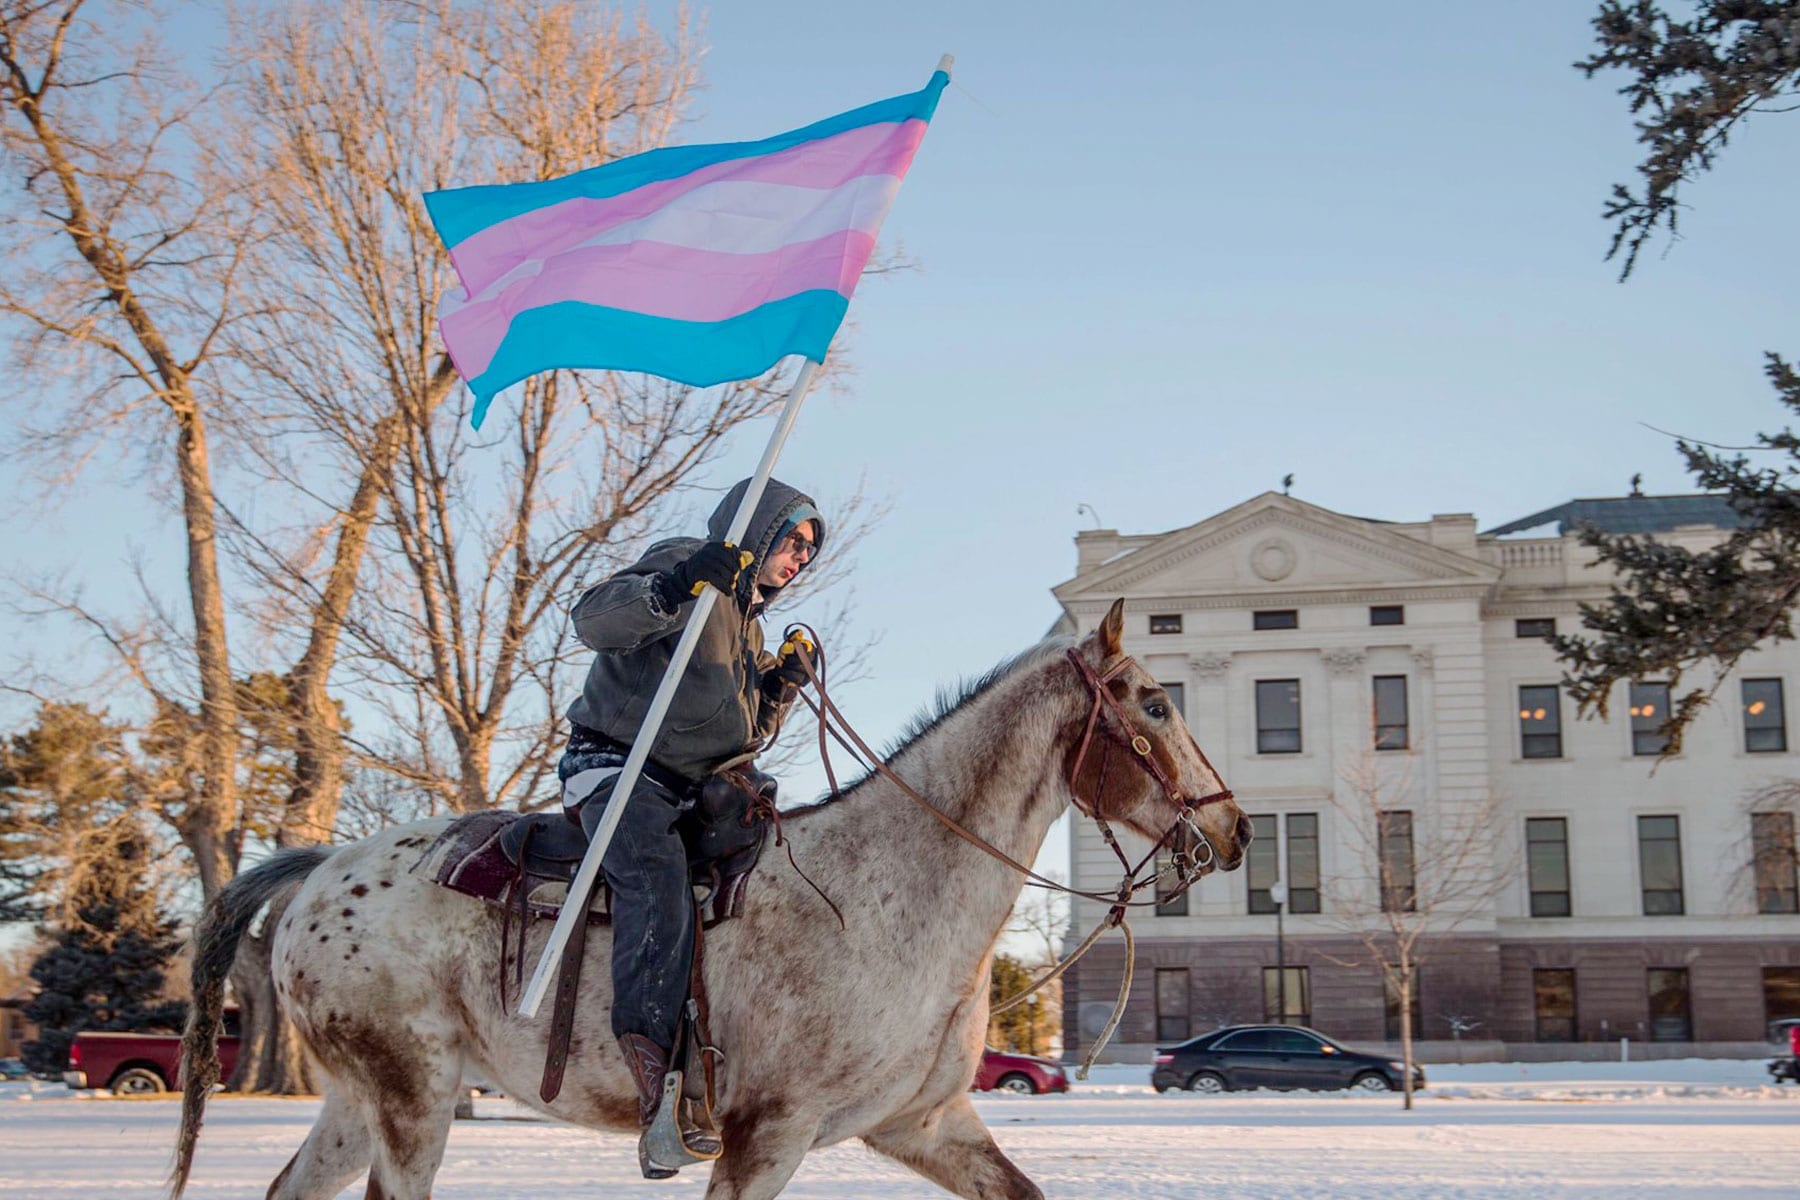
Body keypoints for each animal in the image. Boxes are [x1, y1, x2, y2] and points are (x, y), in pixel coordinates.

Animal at [171, 600, 1252, 1200]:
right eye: (1157, 703)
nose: (1238, 828)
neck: (894, 891)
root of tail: (320, 870)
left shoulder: (925, 1125)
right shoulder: (765, 1137)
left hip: (360, 1104)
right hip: (410, 1100)